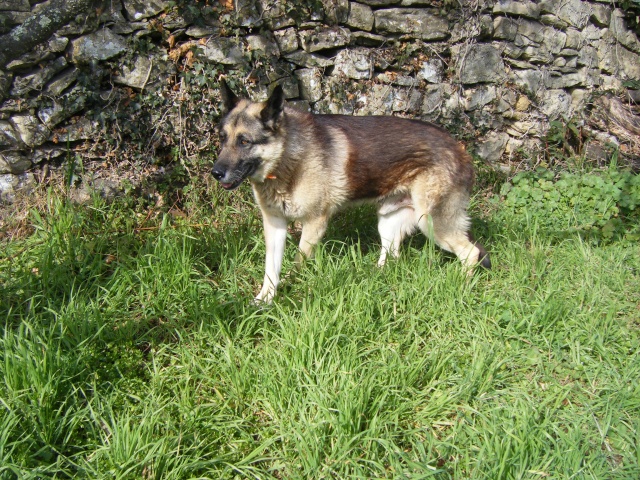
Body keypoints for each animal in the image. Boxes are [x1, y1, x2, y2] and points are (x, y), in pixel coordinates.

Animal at [212, 80, 488, 302]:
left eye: (244, 141)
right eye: (223, 138)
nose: (215, 173)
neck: (287, 158)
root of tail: (460, 148)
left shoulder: (314, 224)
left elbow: (298, 263)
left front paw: (291, 288)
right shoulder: (275, 226)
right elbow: (271, 271)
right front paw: (264, 301)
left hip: (431, 223)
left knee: (471, 253)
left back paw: (461, 287)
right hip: (388, 224)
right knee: (391, 257)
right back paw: (373, 278)